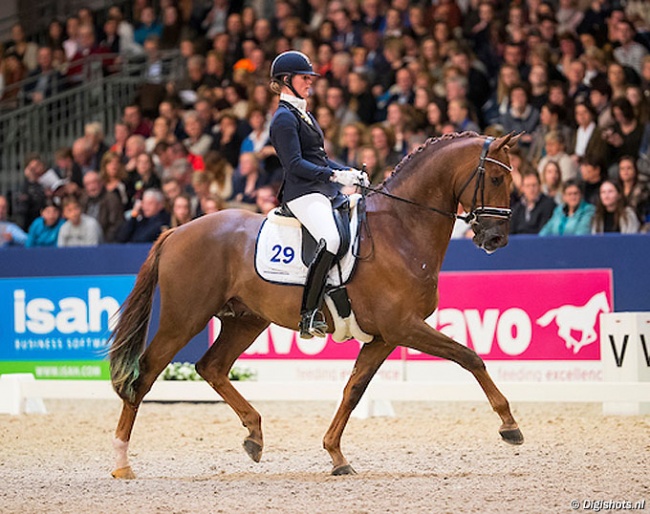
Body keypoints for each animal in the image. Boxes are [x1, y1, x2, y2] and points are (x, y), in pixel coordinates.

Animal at [106, 131, 520, 476]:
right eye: (496, 179)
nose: (496, 238)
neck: (402, 228)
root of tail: (176, 230)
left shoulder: (384, 336)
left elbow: (354, 390)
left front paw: (336, 456)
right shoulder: (403, 326)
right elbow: (469, 357)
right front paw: (510, 426)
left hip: (246, 319)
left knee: (212, 366)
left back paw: (254, 435)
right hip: (184, 318)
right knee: (144, 376)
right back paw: (122, 462)